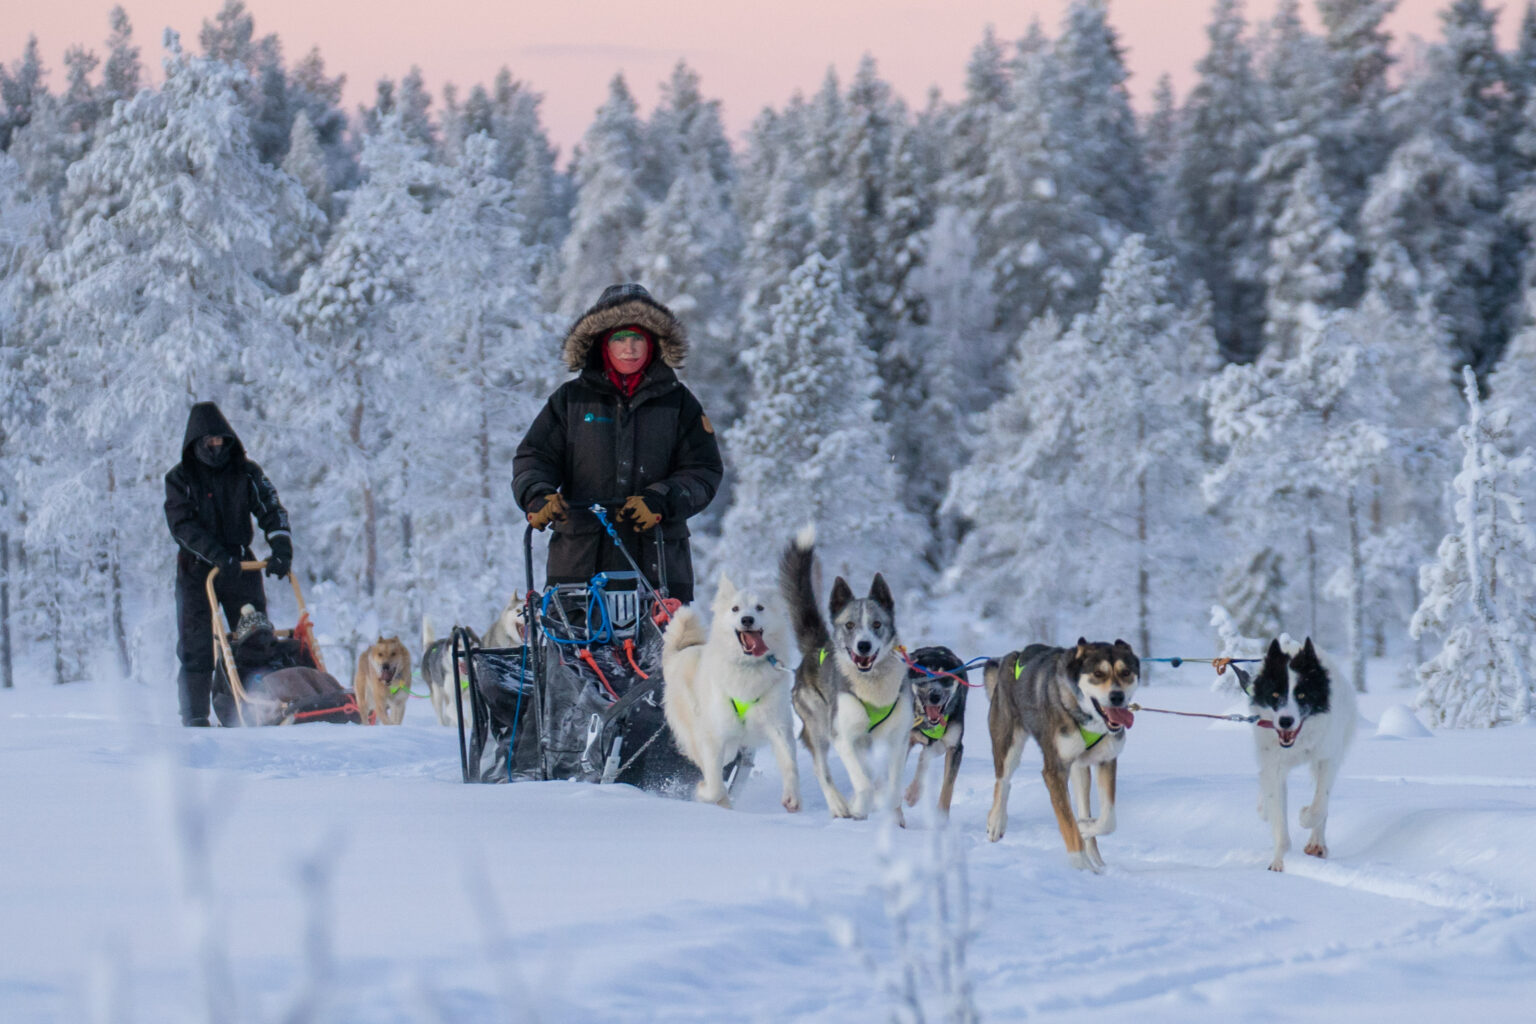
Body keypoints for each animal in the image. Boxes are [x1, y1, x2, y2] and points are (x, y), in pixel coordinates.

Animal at [663, 574, 804, 810]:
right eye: (735, 608)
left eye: (759, 607)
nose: (747, 619)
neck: (747, 668)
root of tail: (677, 655)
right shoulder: (713, 736)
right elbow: (714, 784)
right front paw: (703, 792)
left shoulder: (778, 725)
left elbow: (790, 764)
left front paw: (792, 798)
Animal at [983, 641, 1142, 872]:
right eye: (1098, 673)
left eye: (1126, 672)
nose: (1117, 696)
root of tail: (1013, 655)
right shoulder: (1054, 771)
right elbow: (1067, 823)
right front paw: (1080, 865)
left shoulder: (1106, 760)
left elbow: (1108, 819)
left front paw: (1085, 829)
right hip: (1008, 744)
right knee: (1003, 782)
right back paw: (996, 822)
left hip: (1079, 768)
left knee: (1084, 808)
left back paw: (1096, 855)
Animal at [1247, 635, 1357, 872]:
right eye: (1275, 694)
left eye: (1302, 694)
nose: (1285, 721)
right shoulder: (1274, 766)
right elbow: (1278, 817)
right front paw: (1278, 862)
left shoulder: (1327, 758)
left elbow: (1319, 807)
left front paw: (1305, 816)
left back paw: (1317, 843)